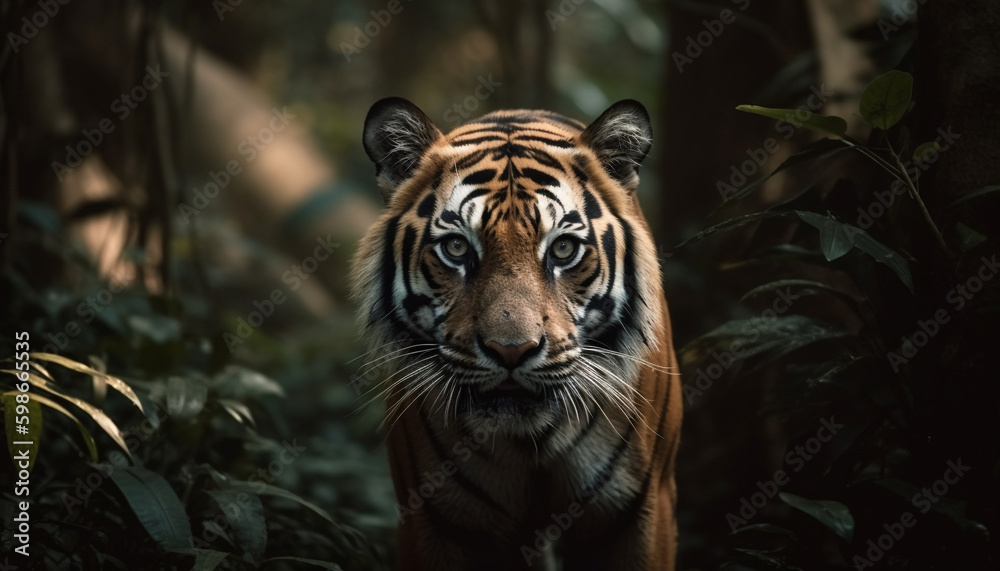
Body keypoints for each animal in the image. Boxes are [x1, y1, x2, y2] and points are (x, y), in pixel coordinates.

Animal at [350, 96, 680, 568]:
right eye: (456, 248)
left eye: (563, 248)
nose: (511, 350)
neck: (528, 442)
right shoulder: (434, 518)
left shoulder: (639, 510)